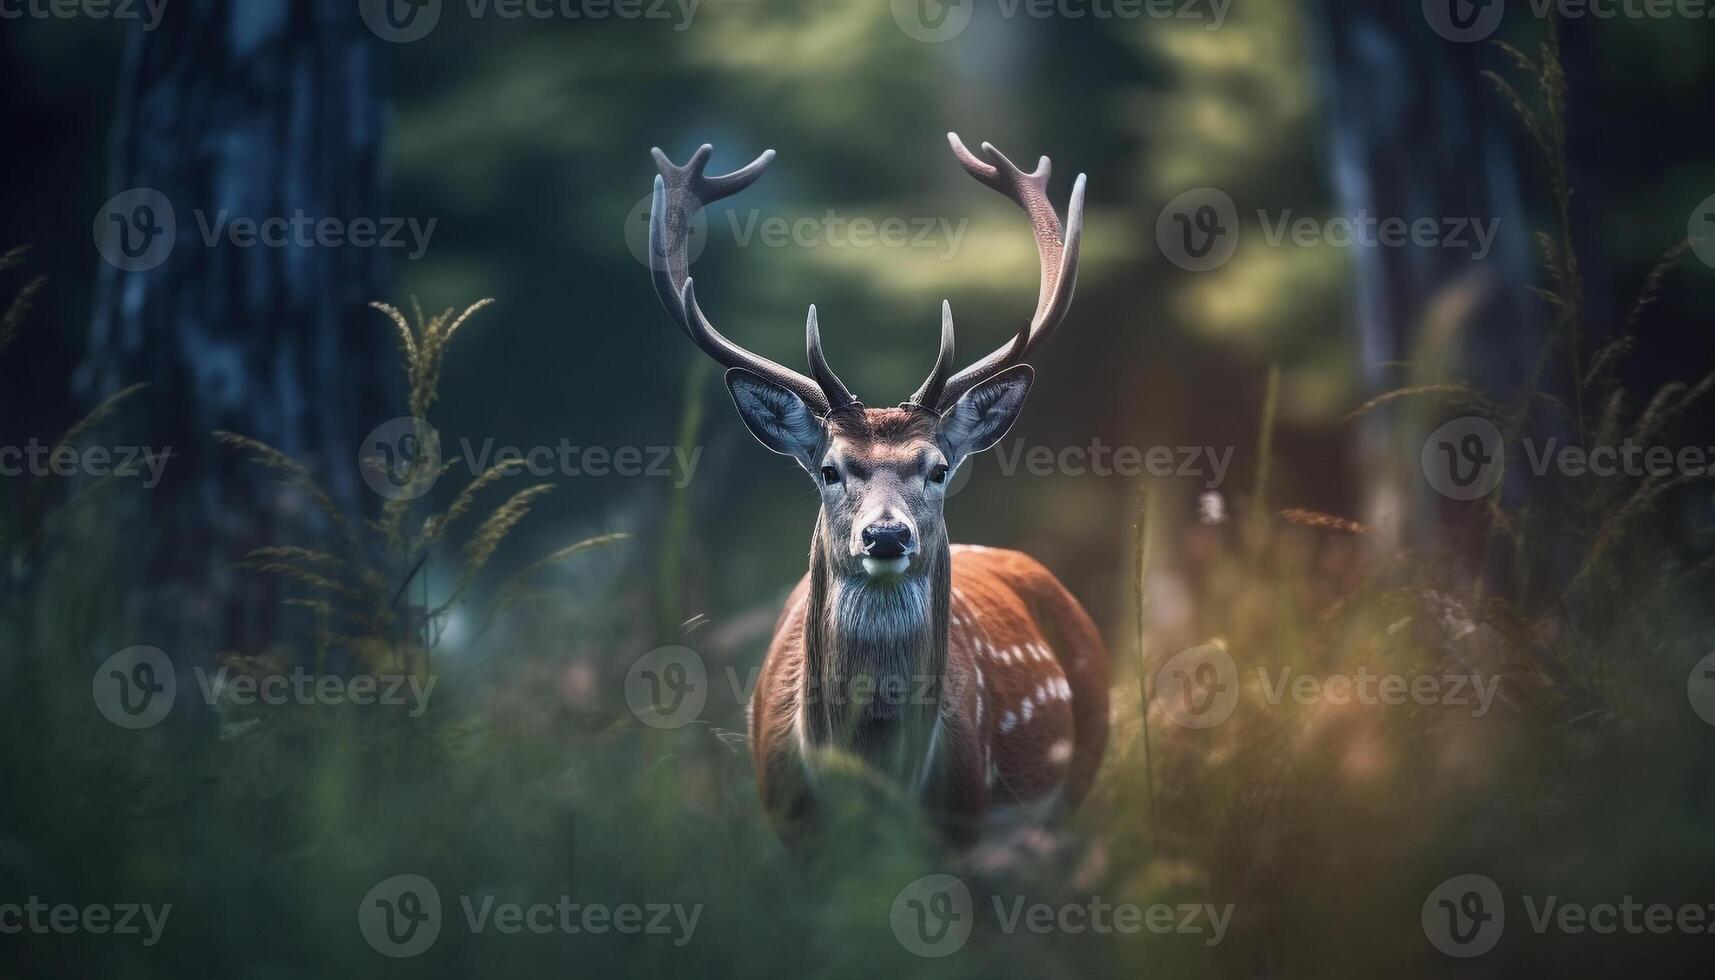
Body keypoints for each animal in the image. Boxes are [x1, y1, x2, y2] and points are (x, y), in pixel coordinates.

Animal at [644, 136, 1111, 844]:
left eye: (939, 468)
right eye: (830, 469)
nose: (886, 534)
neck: (871, 784)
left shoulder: (965, 825)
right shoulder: (788, 827)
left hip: (1077, 790)